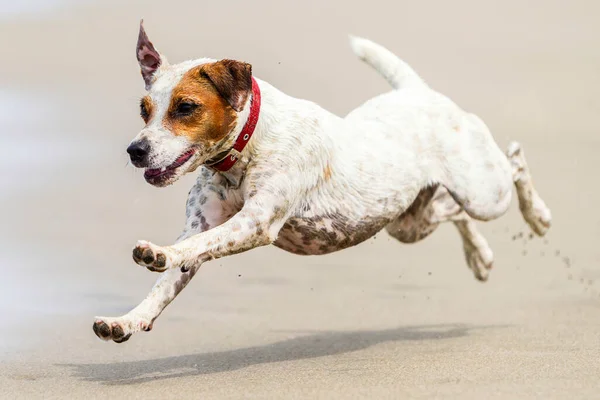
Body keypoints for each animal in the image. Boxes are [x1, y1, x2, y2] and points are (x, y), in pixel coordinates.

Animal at [92, 20, 548, 342]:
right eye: (144, 110)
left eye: (186, 107)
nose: (135, 150)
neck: (246, 149)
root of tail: (418, 92)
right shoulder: (202, 224)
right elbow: (167, 283)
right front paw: (127, 321)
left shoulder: (255, 222)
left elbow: (190, 248)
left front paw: (159, 253)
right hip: (407, 222)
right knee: (453, 212)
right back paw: (480, 257)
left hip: (484, 192)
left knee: (515, 161)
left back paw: (538, 215)